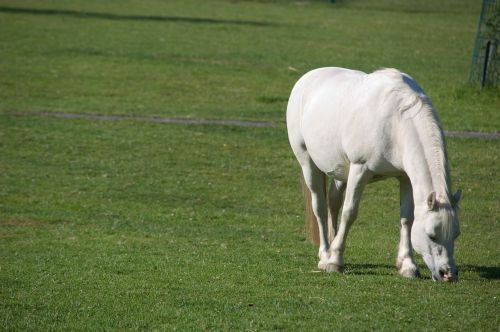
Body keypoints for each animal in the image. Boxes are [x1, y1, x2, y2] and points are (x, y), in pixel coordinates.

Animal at [286, 67, 460, 280]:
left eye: (456, 234)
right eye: (431, 235)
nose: (448, 274)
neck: (396, 121)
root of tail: (307, 78)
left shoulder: (405, 177)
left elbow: (407, 218)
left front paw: (408, 265)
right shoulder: (360, 169)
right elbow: (349, 213)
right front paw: (335, 261)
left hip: (340, 172)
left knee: (333, 203)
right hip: (308, 162)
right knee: (319, 207)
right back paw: (325, 255)